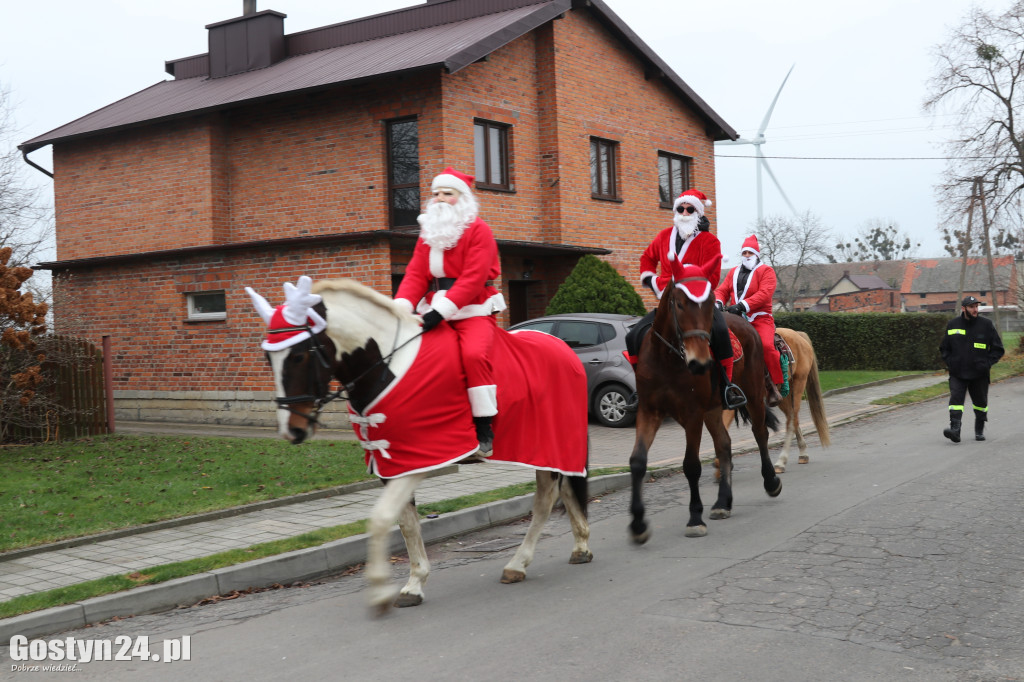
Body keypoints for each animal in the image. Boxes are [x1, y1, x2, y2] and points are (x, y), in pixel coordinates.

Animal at [246, 276, 593, 610]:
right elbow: (407, 525)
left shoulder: (417, 462)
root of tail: (564, 349)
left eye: (299, 355)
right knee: (565, 489)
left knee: (545, 501)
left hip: (551, 447)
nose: (292, 430)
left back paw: (518, 564)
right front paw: (413, 584)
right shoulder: (391, 467)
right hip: (552, 452)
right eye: (268, 356)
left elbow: (381, 519)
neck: (387, 365)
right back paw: (581, 545)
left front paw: (380, 589)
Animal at [622, 270, 782, 540]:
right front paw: (638, 524)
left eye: (707, 306)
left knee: (760, 433)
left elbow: (691, 465)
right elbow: (637, 462)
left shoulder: (692, 415)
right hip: (713, 409)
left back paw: (771, 482)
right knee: (724, 444)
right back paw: (722, 502)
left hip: (752, 393)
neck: (667, 359)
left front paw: (695, 517)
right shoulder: (649, 411)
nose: (700, 363)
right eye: (678, 304)